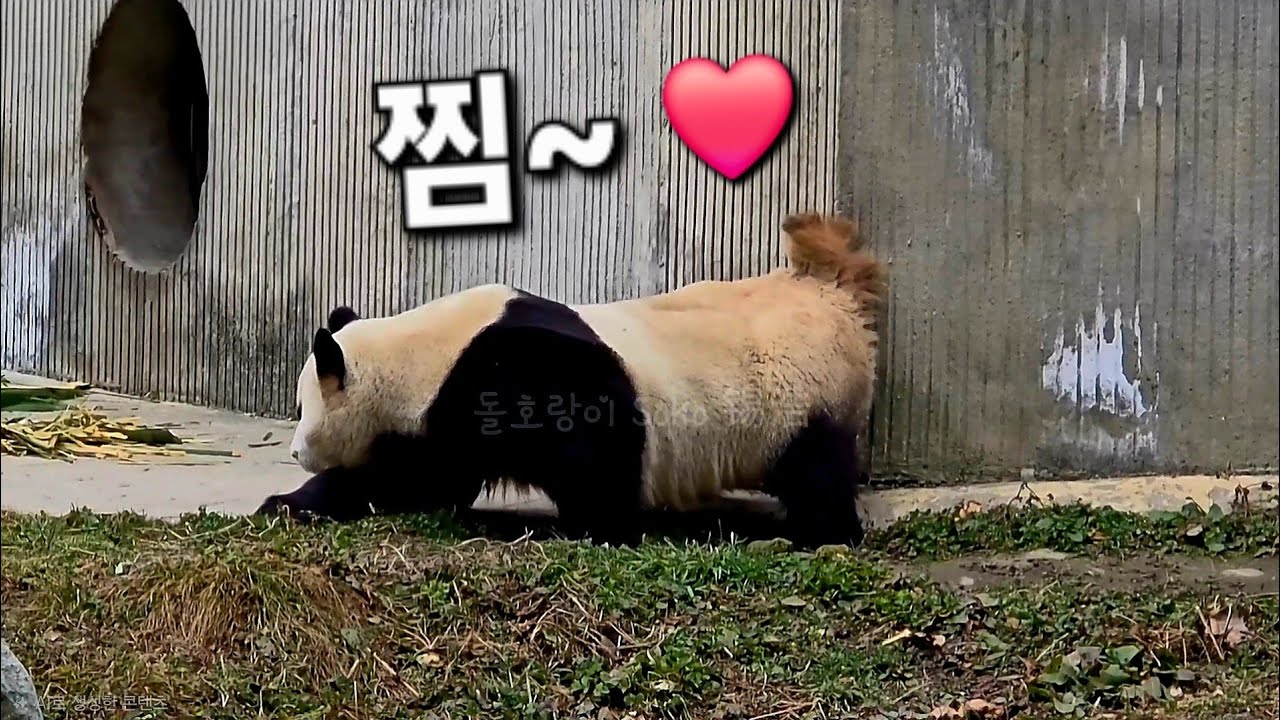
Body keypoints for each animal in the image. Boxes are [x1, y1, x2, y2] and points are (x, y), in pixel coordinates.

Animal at [256, 213, 887, 547]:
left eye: (302, 408)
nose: (293, 451)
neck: (421, 353)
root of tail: (831, 293)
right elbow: (423, 479)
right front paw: (289, 502)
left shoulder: (513, 377)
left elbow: (594, 461)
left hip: (801, 397)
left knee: (817, 471)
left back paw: (818, 534)